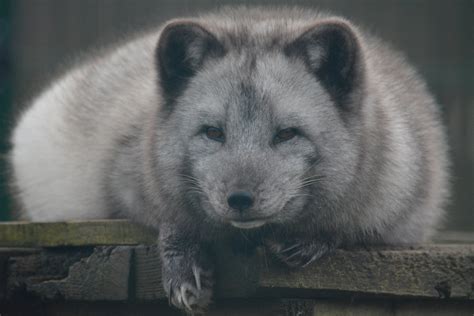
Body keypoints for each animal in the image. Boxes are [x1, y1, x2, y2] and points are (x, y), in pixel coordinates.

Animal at [10, 6, 448, 312]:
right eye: (213, 132)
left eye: (287, 134)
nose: (239, 199)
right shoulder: (127, 171)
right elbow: (169, 216)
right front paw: (184, 261)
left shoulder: (406, 206)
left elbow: (351, 225)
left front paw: (315, 238)